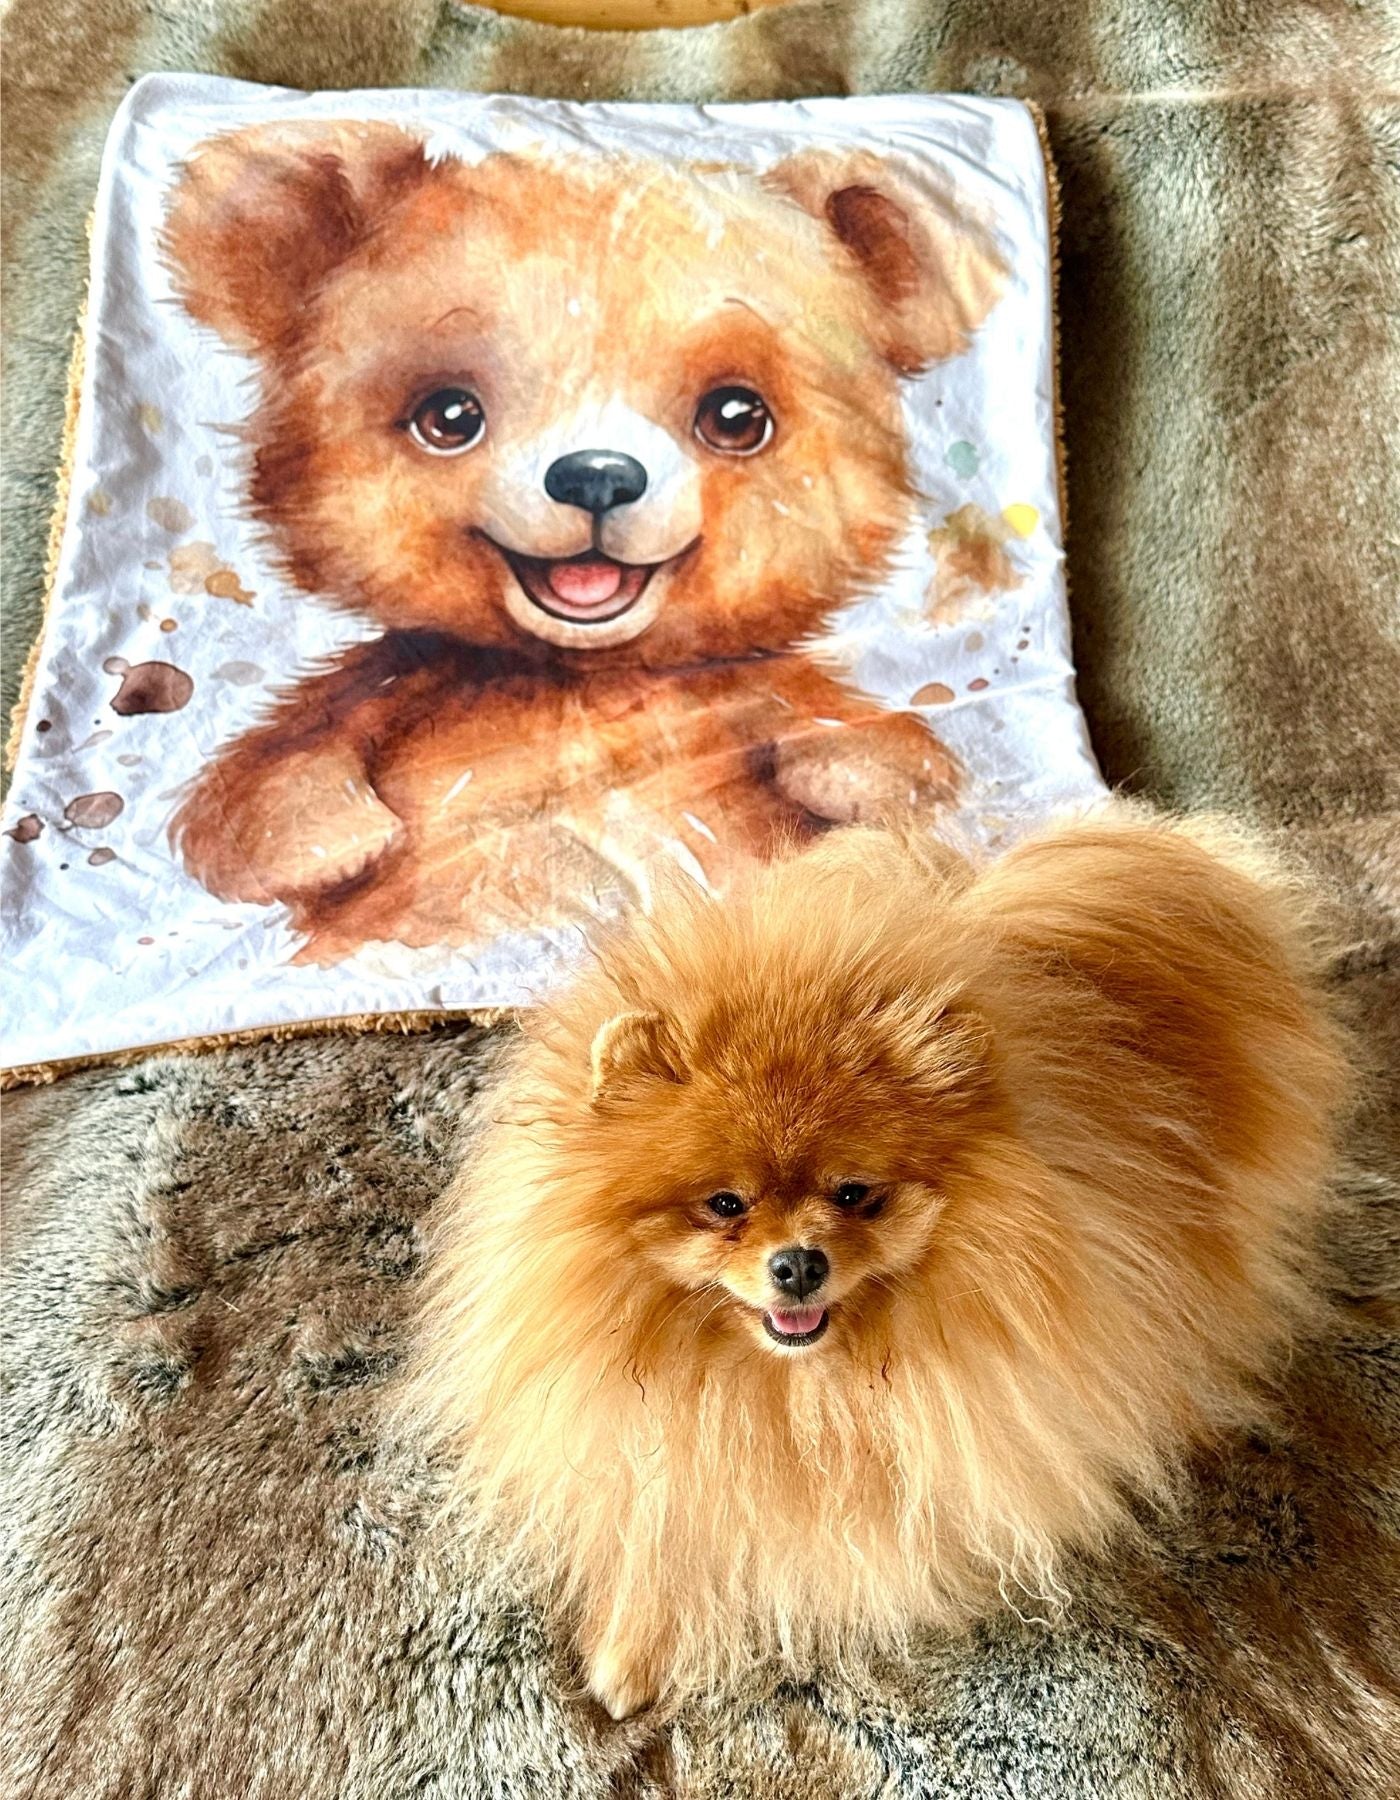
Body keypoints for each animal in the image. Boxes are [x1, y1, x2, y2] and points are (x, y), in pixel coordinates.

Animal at [162, 124, 1006, 962]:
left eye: (736, 417)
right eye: (448, 416)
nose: (596, 476)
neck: (580, 681)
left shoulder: (752, 696)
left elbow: (884, 753)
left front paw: (852, 770)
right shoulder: (392, 689)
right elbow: (256, 794)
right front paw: (332, 836)